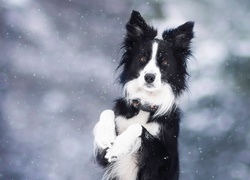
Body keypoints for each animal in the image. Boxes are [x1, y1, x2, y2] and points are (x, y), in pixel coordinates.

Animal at [93, 10, 194, 180]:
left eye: (164, 62)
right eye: (142, 58)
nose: (149, 77)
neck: (145, 106)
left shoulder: (164, 159)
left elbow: (140, 128)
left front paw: (120, 145)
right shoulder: (104, 158)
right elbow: (107, 112)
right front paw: (105, 135)